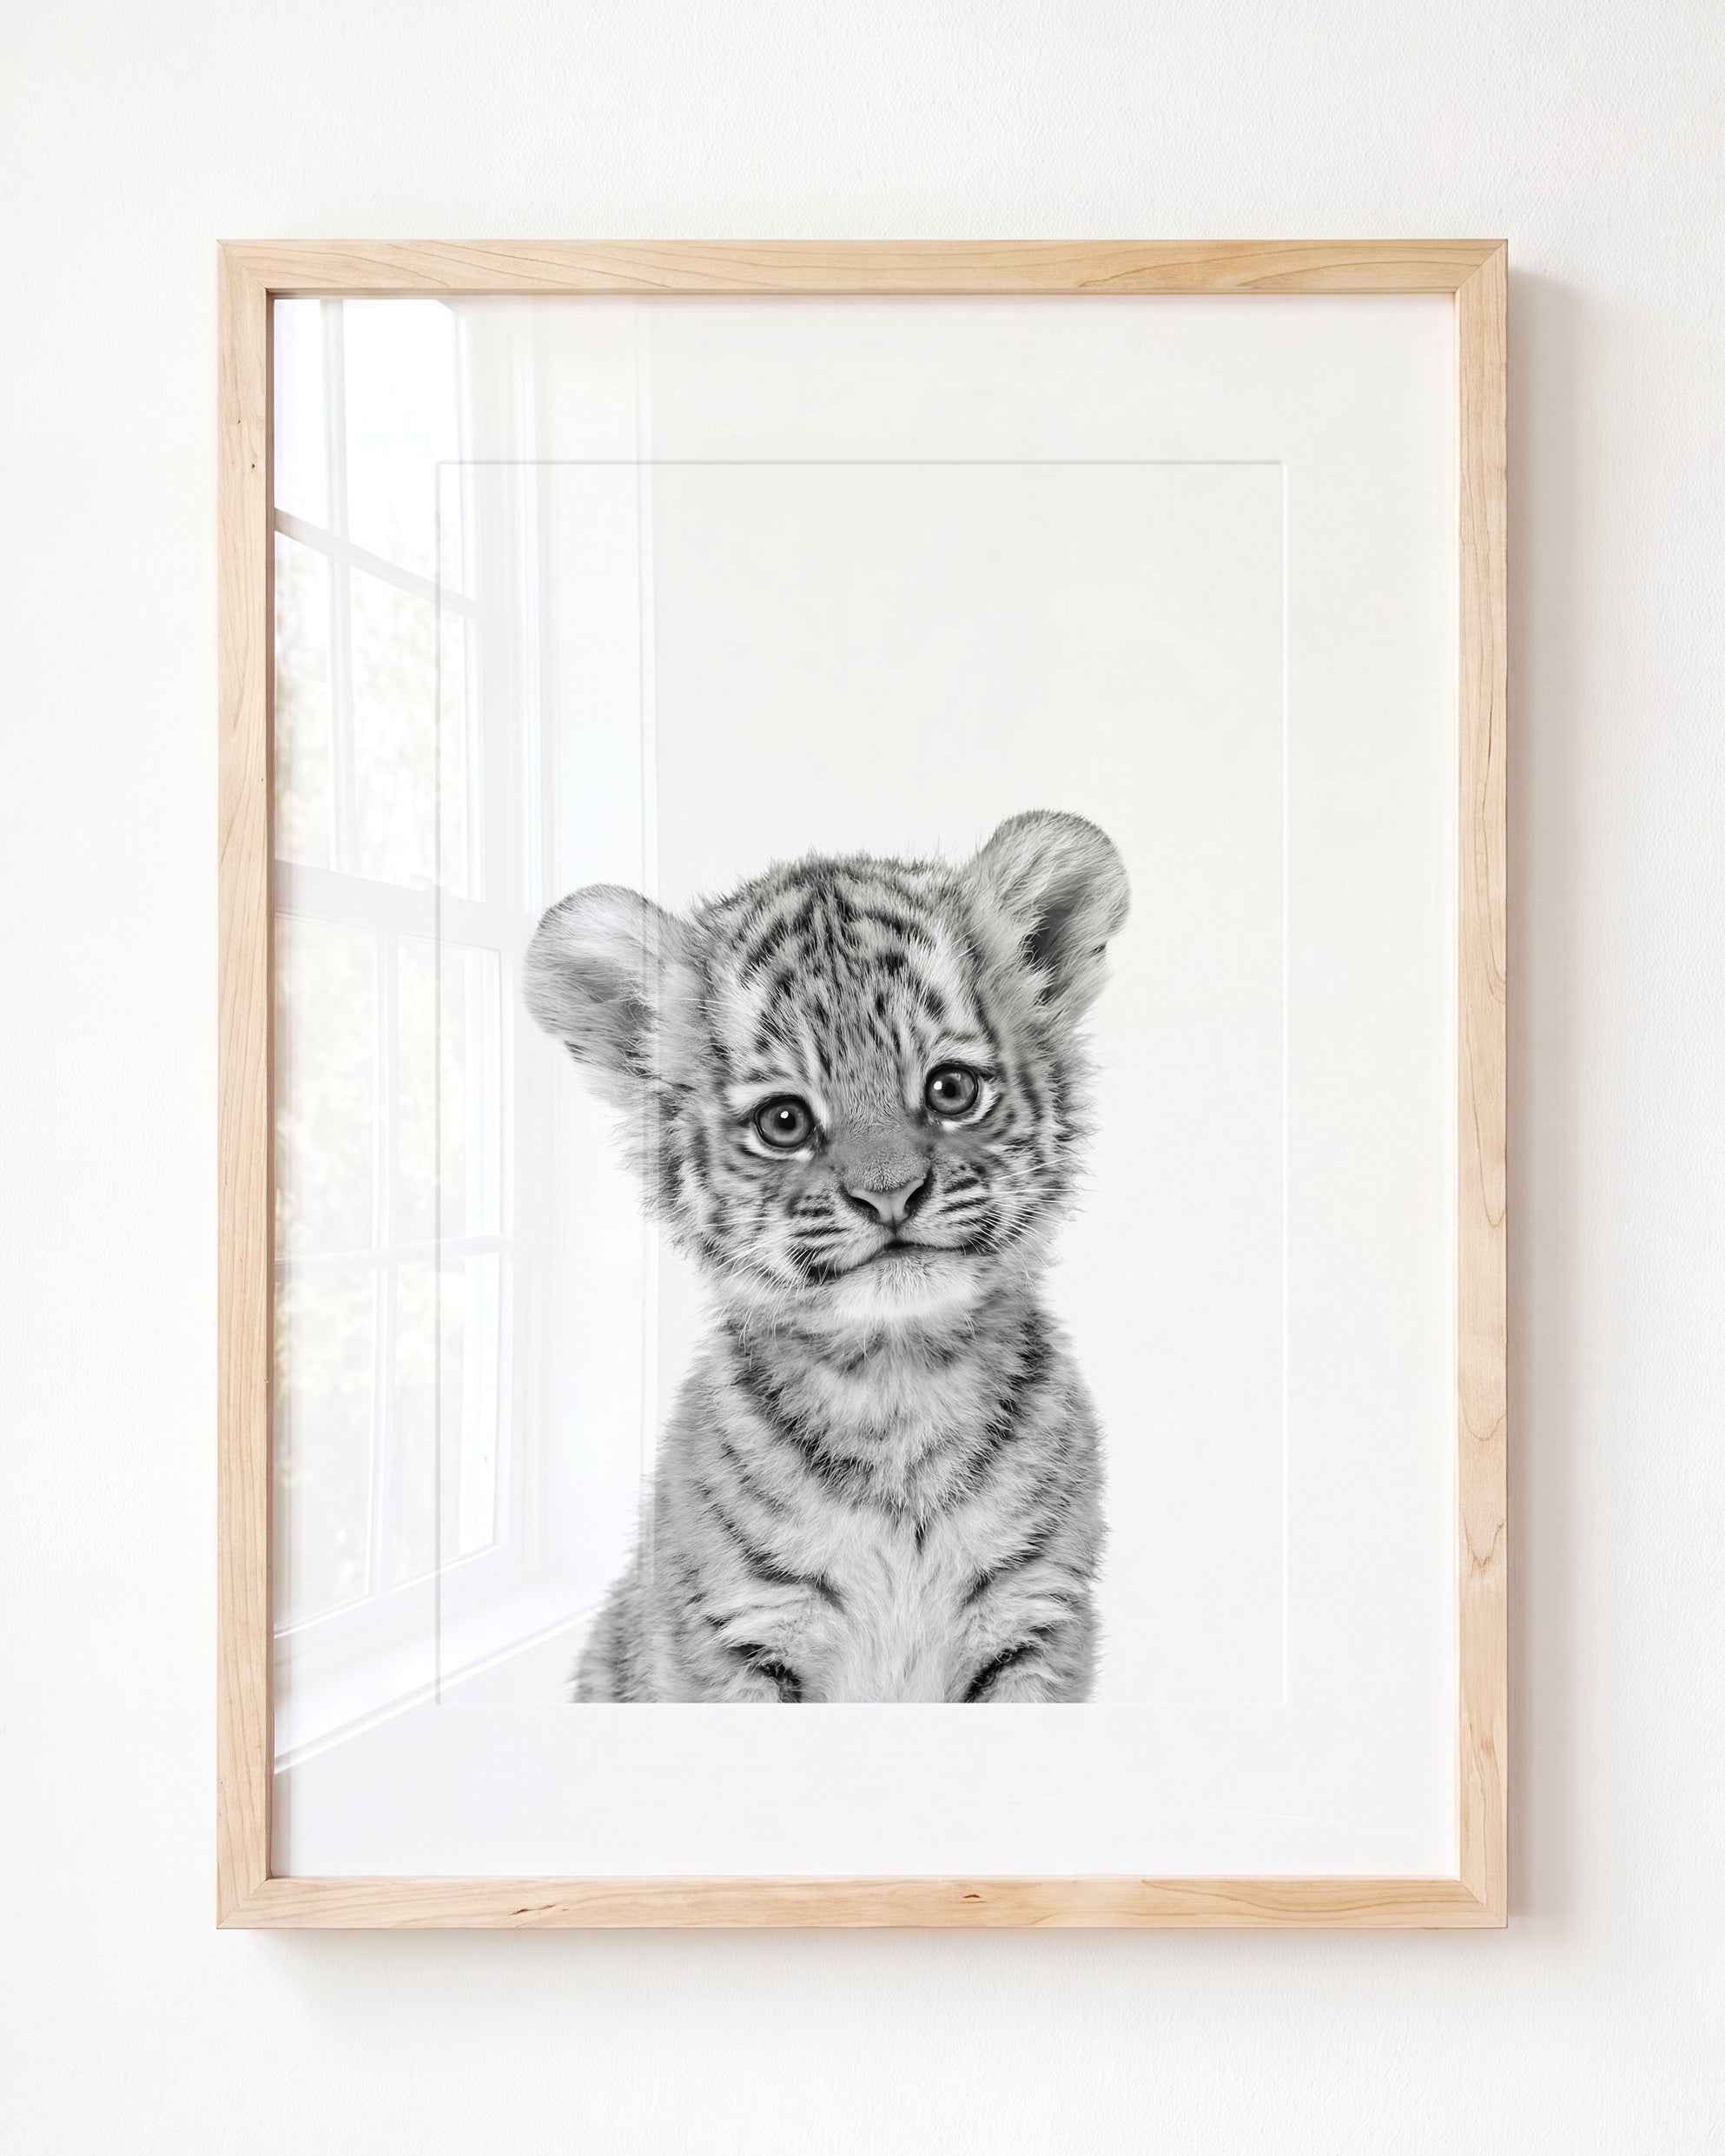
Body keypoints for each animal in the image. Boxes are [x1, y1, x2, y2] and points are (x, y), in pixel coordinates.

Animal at [523, 810, 1129, 1702]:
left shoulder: (1034, 1622)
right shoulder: (738, 1637)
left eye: (951, 1089)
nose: (890, 1196)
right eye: (784, 1122)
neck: (900, 1390)